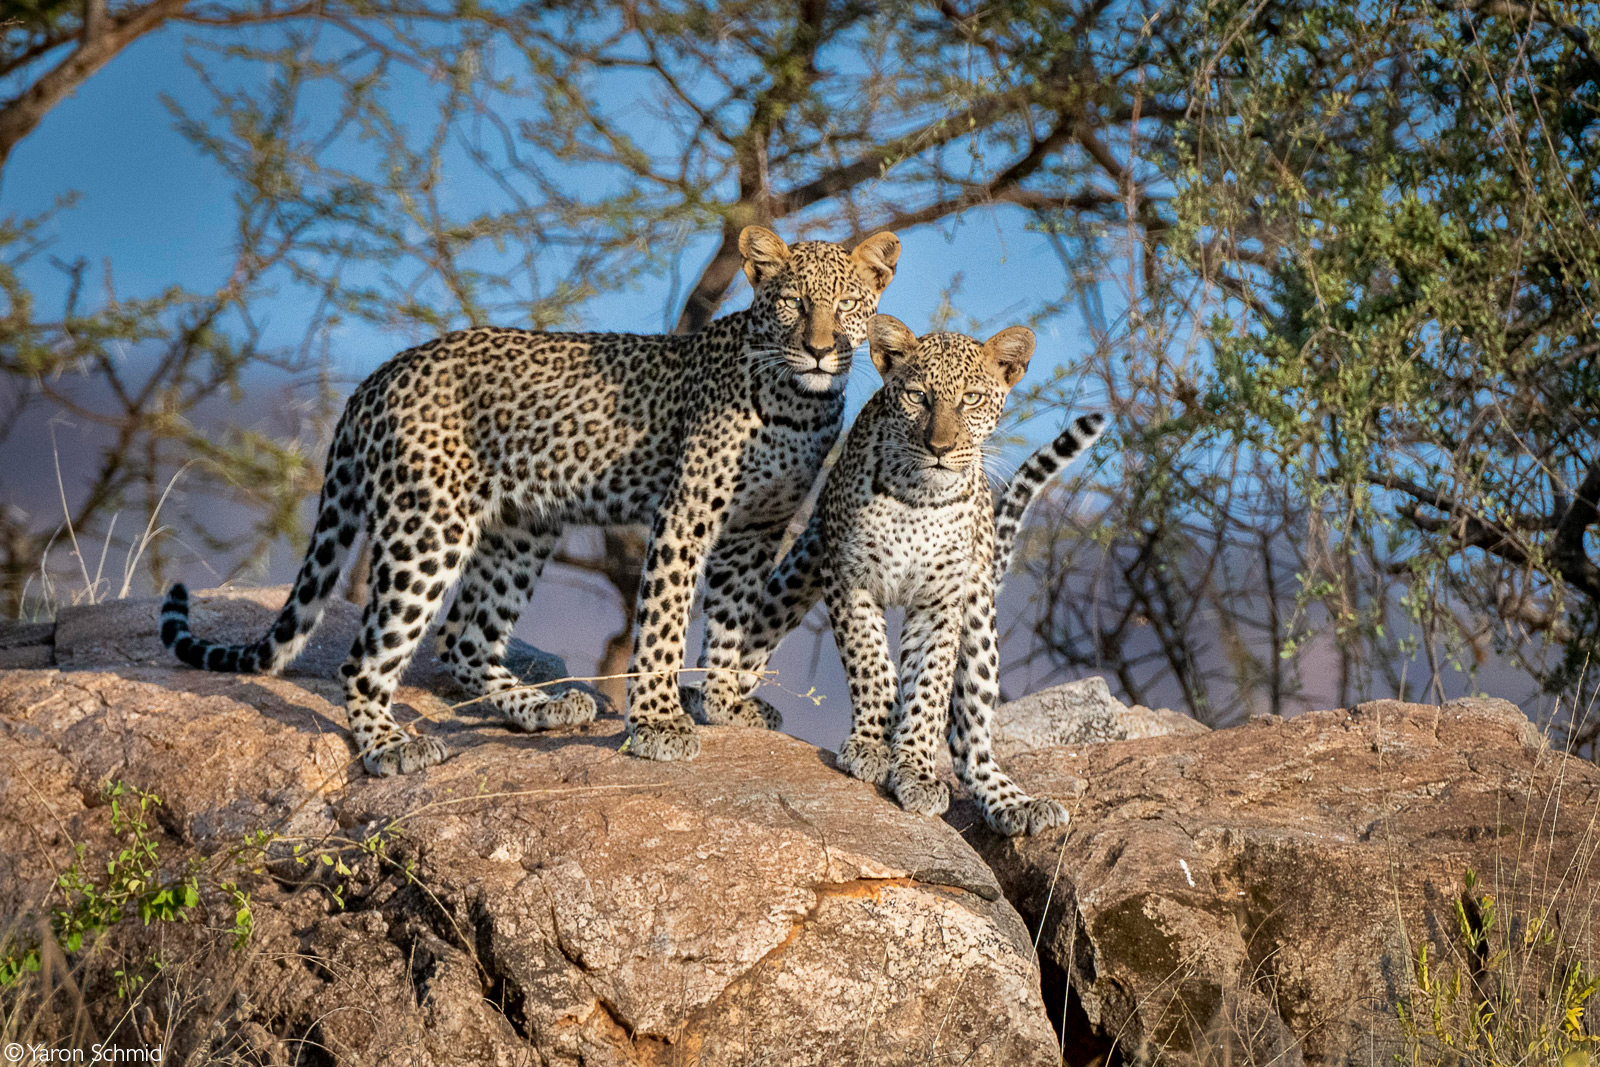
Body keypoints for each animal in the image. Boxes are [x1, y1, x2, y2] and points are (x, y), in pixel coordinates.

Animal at [167, 225, 908, 777]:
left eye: (847, 305)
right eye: (792, 302)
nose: (820, 349)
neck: (798, 405)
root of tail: (377, 374)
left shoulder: (757, 527)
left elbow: (733, 620)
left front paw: (726, 701)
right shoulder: (687, 515)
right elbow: (665, 622)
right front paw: (660, 721)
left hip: (523, 527)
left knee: (464, 639)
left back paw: (541, 708)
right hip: (427, 526)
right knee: (368, 657)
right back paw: (389, 743)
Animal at [694, 313, 1107, 838]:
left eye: (971, 399)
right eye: (917, 396)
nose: (940, 448)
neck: (920, 498)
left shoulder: (940, 601)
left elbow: (929, 690)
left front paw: (913, 768)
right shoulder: (848, 579)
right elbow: (872, 666)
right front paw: (873, 744)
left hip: (980, 614)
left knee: (970, 739)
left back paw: (1014, 801)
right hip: (798, 570)